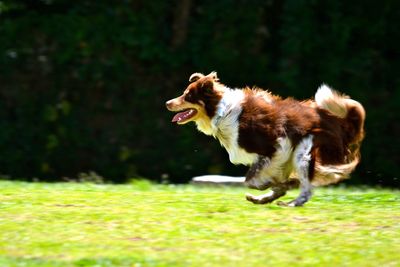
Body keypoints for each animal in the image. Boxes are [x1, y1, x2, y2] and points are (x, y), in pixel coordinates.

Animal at [164, 73, 364, 207]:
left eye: (188, 96)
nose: (167, 103)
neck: (222, 112)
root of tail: (341, 122)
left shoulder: (276, 148)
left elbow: (252, 180)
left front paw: (280, 185)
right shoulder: (277, 158)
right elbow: (263, 181)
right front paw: (277, 188)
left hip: (303, 152)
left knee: (306, 190)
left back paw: (290, 203)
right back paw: (264, 199)